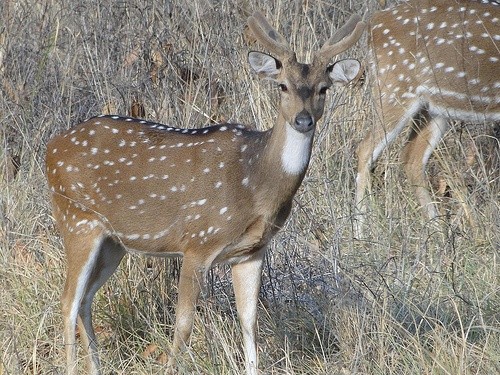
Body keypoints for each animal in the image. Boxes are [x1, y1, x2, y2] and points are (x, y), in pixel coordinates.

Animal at [47, 10, 366, 374]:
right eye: (282, 85)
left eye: (323, 89)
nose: (303, 120)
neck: (255, 183)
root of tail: (49, 150)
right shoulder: (197, 241)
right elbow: (183, 324)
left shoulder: (252, 251)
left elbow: (249, 321)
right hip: (76, 220)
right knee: (68, 299)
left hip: (113, 242)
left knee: (86, 298)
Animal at [356, 0, 500, 235]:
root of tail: (374, 22)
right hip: (394, 87)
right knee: (366, 149)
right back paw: (359, 233)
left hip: (434, 107)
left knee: (411, 159)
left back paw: (438, 232)